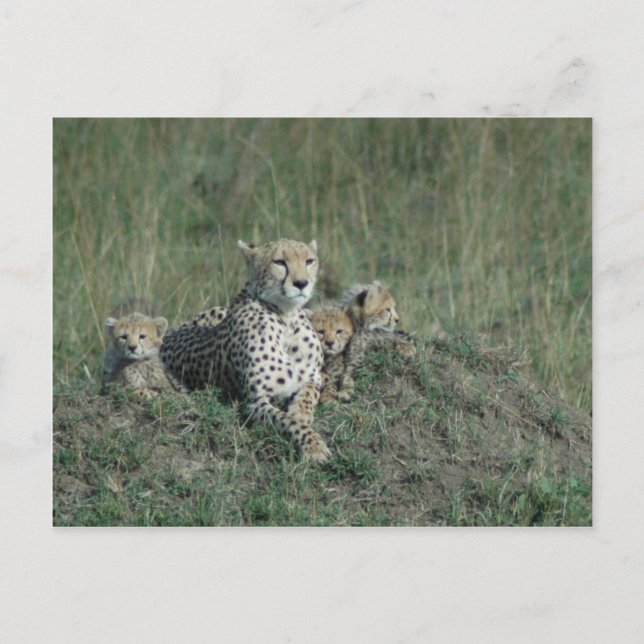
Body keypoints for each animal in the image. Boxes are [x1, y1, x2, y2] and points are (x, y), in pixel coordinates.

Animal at [160, 239, 330, 463]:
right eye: (279, 262)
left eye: (309, 261)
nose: (302, 283)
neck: (286, 318)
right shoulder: (255, 401)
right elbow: (287, 422)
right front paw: (314, 445)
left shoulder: (312, 377)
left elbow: (308, 395)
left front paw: (301, 413)